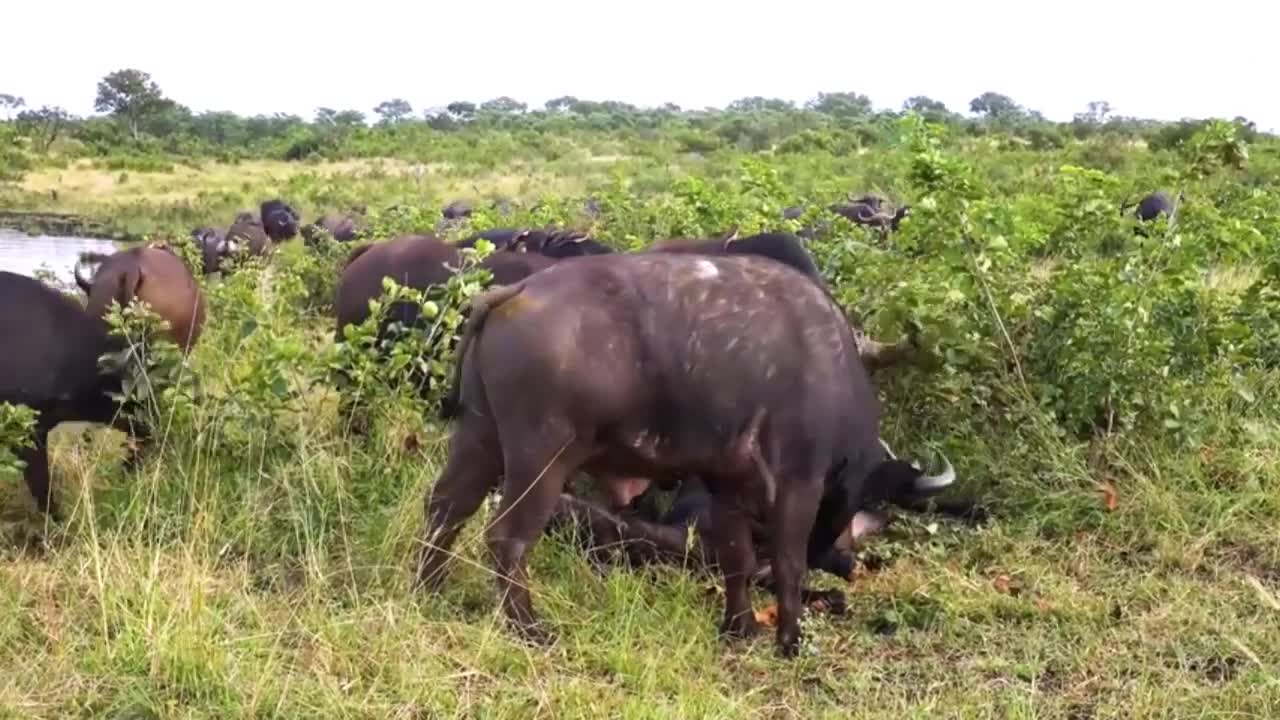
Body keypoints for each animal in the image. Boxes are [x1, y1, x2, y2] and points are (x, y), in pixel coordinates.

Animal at [414, 251, 957, 655]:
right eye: (869, 496)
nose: (839, 556)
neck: (827, 366)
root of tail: (516, 292)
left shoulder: (728, 485)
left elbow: (737, 558)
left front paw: (740, 627)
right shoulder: (798, 483)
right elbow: (787, 562)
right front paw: (790, 640)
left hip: (480, 438)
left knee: (446, 507)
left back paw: (430, 589)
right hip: (540, 459)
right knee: (507, 537)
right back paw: (530, 629)